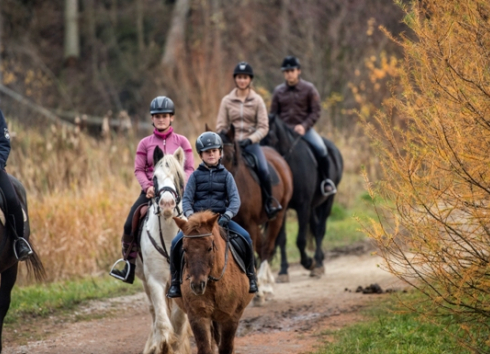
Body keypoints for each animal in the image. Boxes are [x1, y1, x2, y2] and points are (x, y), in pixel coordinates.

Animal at [137, 146, 192, 354]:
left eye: (177, 176)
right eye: (154, 177)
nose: (167, 204)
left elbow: (178, 318)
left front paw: (177, 344)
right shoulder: (155, 280)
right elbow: (161, 318)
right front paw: (162, 344)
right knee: (153, 310)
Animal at [172, 212, 253, 354]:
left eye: (210, 248)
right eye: (184, 249)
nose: (197, 285)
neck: (214, 284)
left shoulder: (230, 317)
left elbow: (226, 348)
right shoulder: (198, 316)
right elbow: (205, 348)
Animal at [262, 115, 342, 280]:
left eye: (272, 138)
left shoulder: (303, 206)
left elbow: (300, 240)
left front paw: (308, 263)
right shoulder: (283, 208)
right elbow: (282, 239)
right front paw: (283, 271)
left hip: (328, 201)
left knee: (320, 229)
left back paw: (318, 264)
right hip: (312, 207)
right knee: (316, 228)